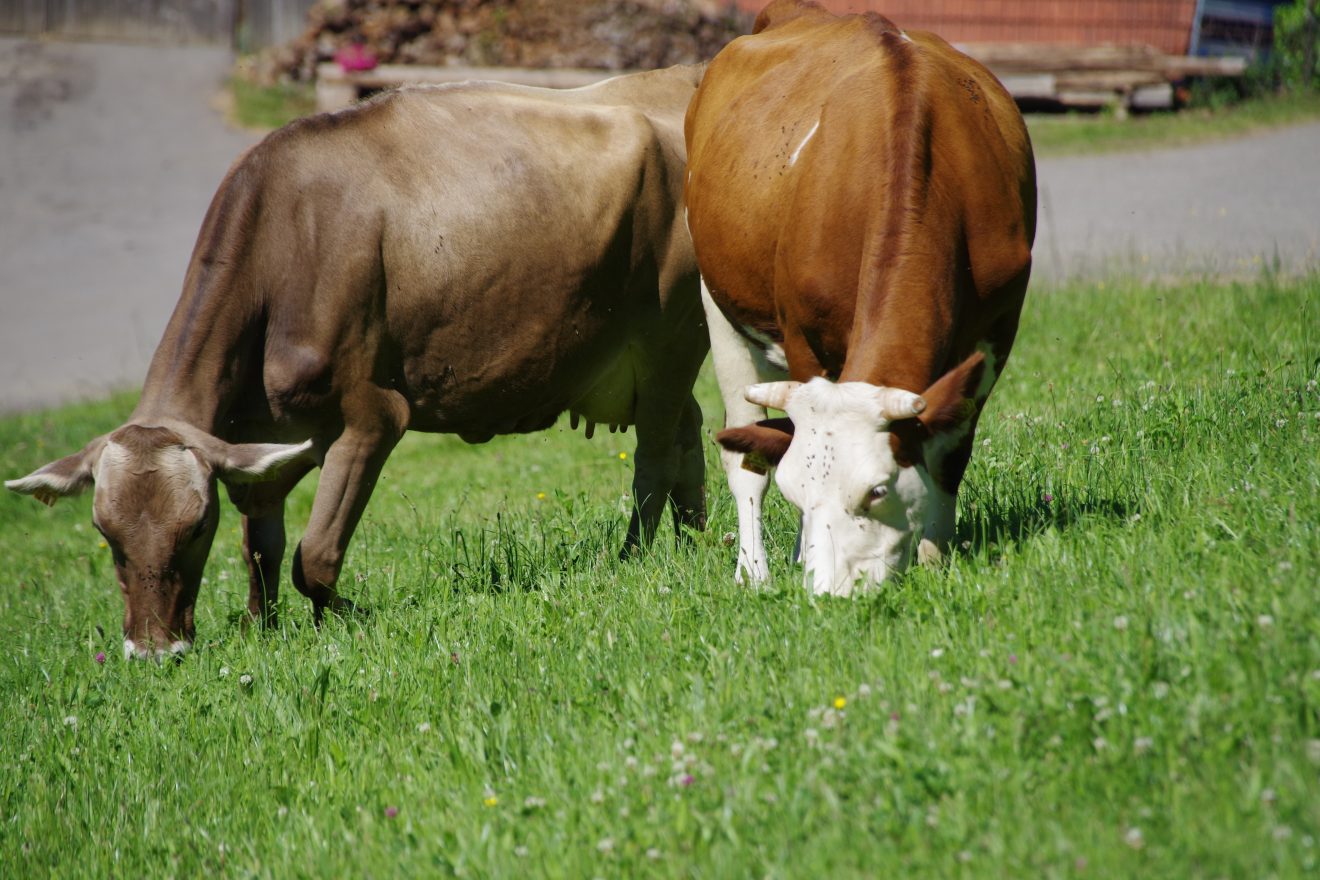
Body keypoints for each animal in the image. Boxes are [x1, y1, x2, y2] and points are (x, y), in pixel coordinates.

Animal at [6, 65, 710, 657]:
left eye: (196, 528)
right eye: (106, 535)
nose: (155, 652)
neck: (282, 251)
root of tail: (679, 80)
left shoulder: (372, 415)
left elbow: (312, 557)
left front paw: (344, 616)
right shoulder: (261, 441)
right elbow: (262, 549)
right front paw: (262, 629)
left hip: (668, 336)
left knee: (652, 457)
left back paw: (634, 556)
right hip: (652, 357)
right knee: (689, 429)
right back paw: (701, 539)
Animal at [684, 0, 1036, 595]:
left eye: (876, 491)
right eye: (797, 493)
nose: (830, 596)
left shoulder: (998, 328)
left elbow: (951, 449)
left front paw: (935, 554)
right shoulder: (802, 338)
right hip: (720, 308)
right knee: (746, 458)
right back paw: (754, 570)